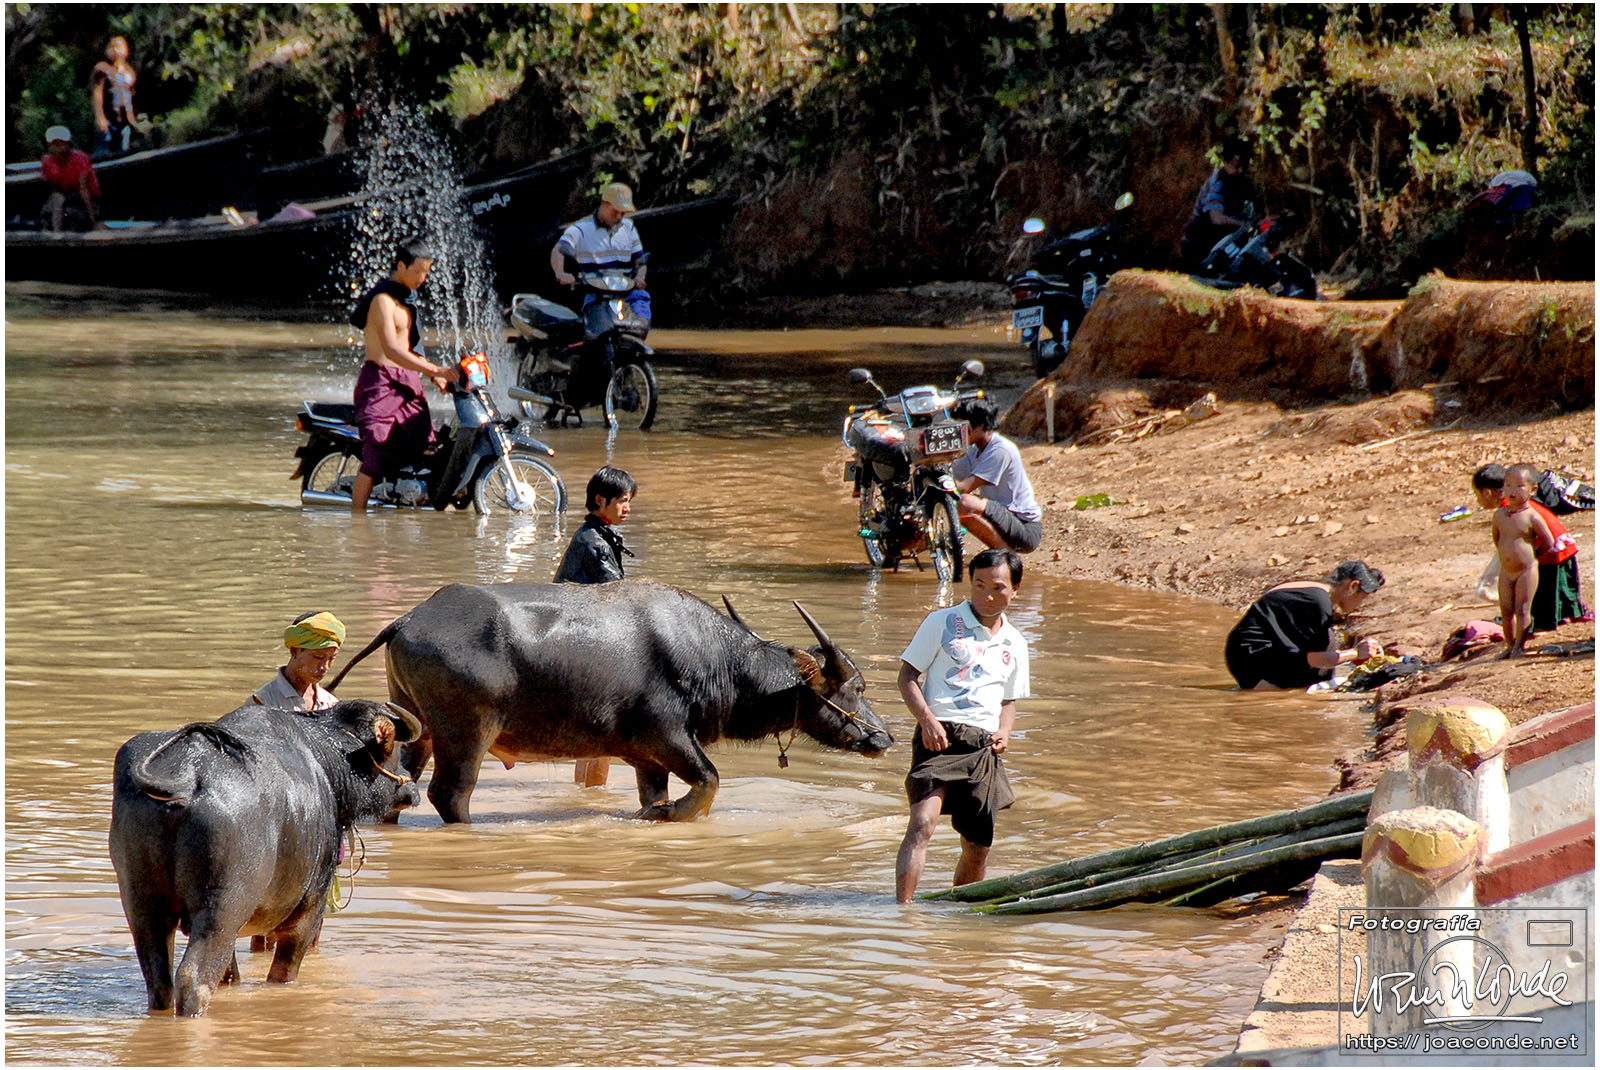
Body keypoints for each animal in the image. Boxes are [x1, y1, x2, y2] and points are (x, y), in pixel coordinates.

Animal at [109, 698, 423, 1017]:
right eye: (397, 749)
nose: (411, 788)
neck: (328, 764)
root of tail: (187, 774)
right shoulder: (310, 909)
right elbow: (284, 970)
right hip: (222, 910)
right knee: (193, 978)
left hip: (142, 905)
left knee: (159, 980)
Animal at [328, 580, 894, 823]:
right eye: (857, 688)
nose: (885, 736)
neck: (718, 662)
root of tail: (409, 618)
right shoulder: (668, 737)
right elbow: (709, 782)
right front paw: (670, 814)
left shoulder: (649, 757)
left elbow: (656, 793)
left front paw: (656, 811)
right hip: (467, 732)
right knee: (450, 794)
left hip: (416, 724)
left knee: (403, 785)